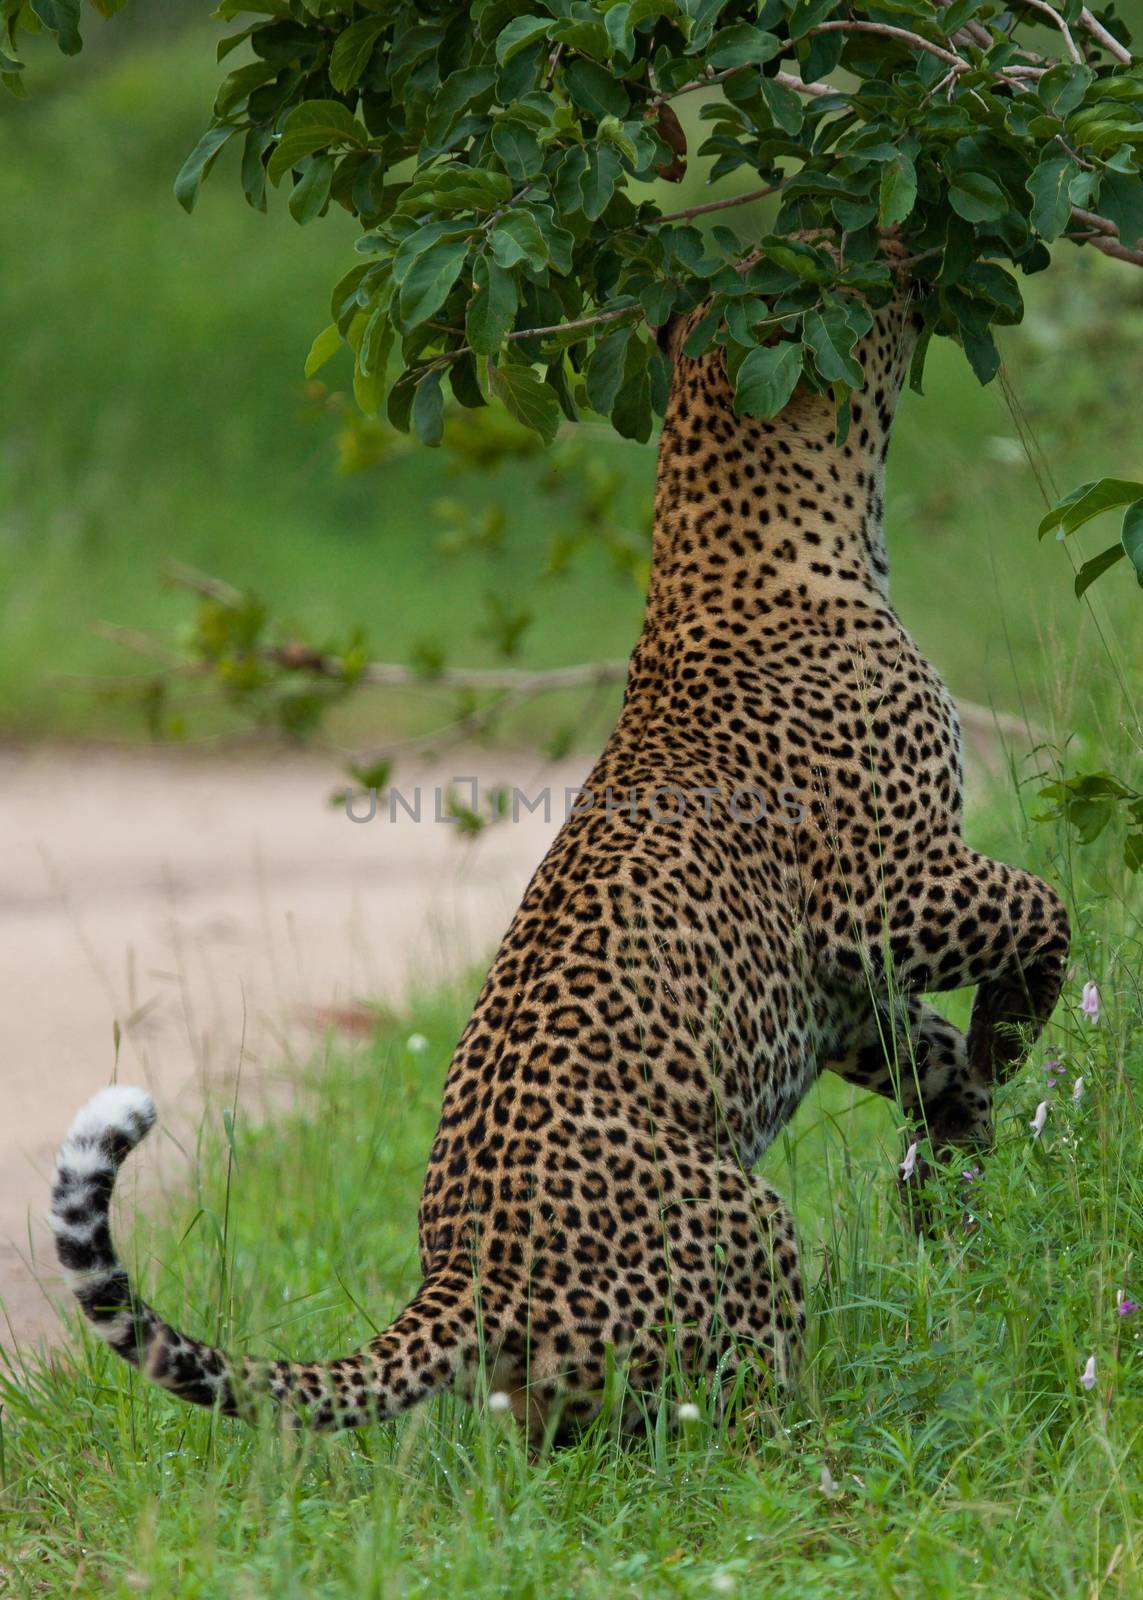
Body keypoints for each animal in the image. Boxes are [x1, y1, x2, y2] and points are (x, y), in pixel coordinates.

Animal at [53, 246, 1069, 1440]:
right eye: (836, 260)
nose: (899, 248)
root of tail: (457, 1275)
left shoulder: (834, 983)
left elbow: (927, 1050)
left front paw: (954, 1151)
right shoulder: (880, 899)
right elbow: (1042, 904)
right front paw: (1013, 1035)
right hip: (748, 1222)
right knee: (743, 1416)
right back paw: (847, 1440)